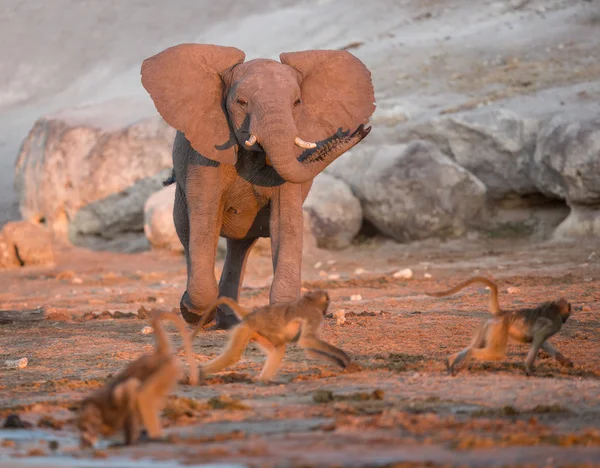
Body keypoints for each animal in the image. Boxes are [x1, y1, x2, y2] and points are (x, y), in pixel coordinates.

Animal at [141, 44, 376, 330]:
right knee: (188, 233)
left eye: (297, 103)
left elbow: (286, 222)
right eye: (241, 103)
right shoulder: (204, 153)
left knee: (240, 246)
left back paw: (229, 322)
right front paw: (191, 312)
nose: (360, 129)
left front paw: (286, 320)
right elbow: (204, 219)